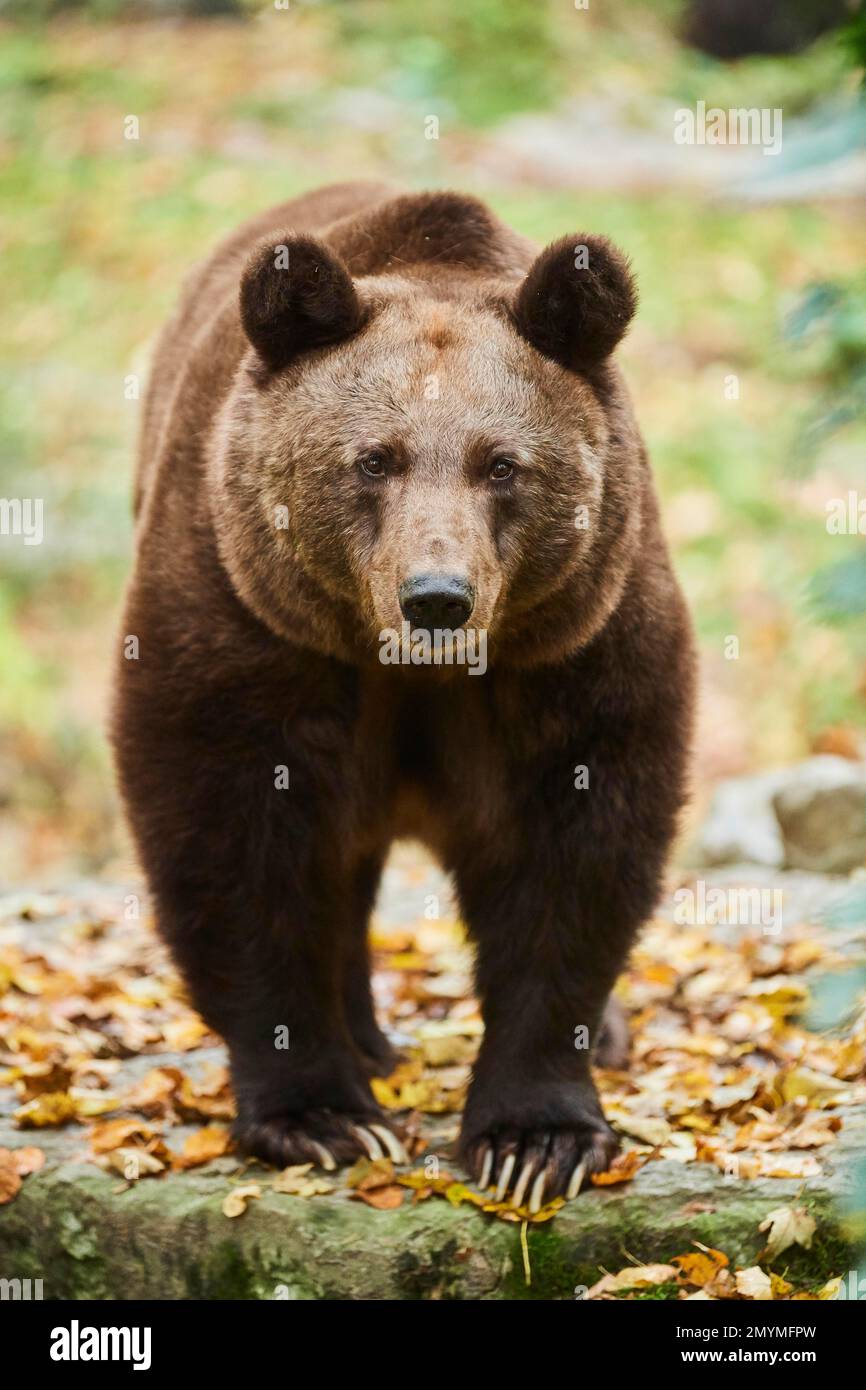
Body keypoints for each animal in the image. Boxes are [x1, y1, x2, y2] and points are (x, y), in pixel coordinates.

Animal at [112, 181, 695, 1211]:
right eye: (373, 459)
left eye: (502, 464)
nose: (436, 596)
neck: (410, 668)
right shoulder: (247, 614)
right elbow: (230, 839)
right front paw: (321, 1113)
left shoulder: (576, 640)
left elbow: (575, 853)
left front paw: (534, 1137)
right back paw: (366, 1040)